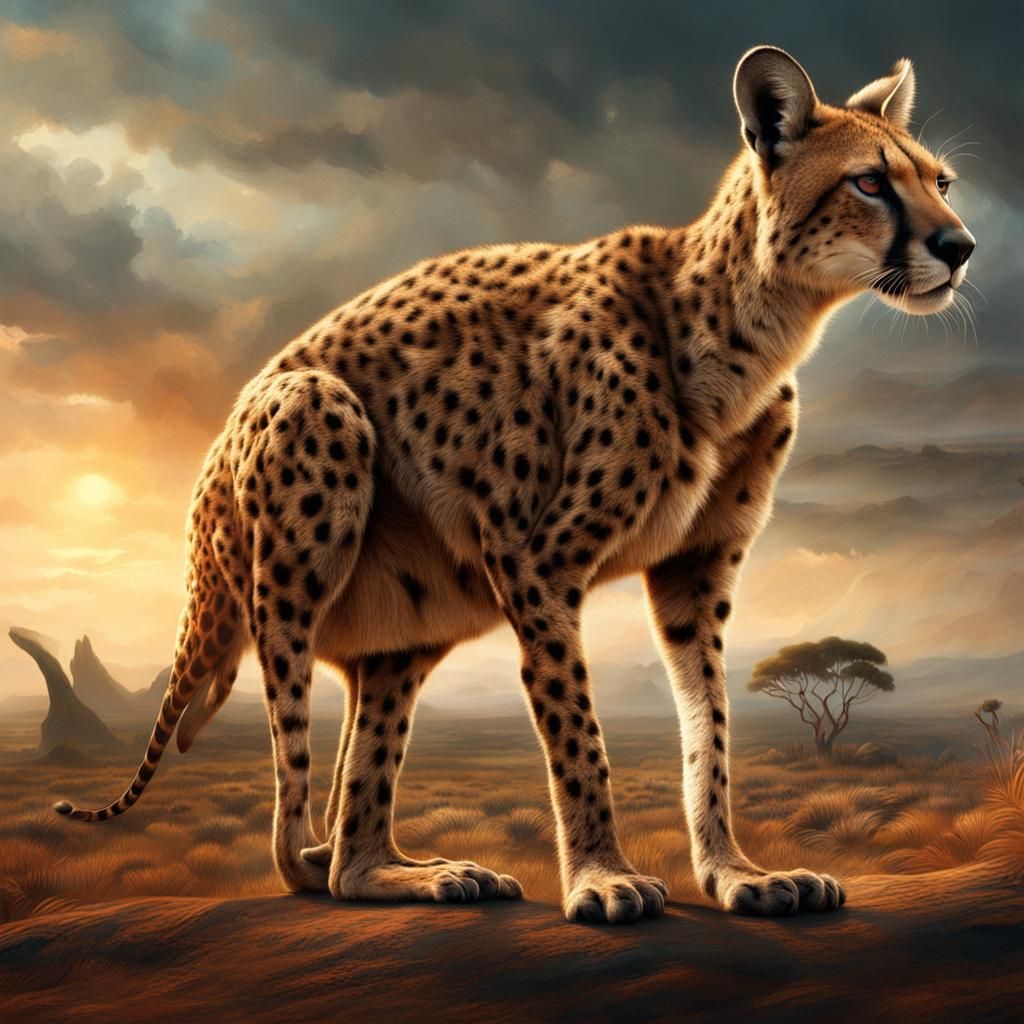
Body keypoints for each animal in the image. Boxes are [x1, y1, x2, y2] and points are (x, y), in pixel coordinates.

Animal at [56, 46, 975, 924]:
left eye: (940, 182)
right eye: (868, 182)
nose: (960, 247)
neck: (754, 326)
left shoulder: (696, 574)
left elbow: (708, 728)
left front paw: (735, 873)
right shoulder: (536, 560)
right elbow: (579, 733)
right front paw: (603, 877)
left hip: (415, 619)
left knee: (350, 839)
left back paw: (409, 871)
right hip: (314, 434)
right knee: (292, 843)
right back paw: (350, 863)